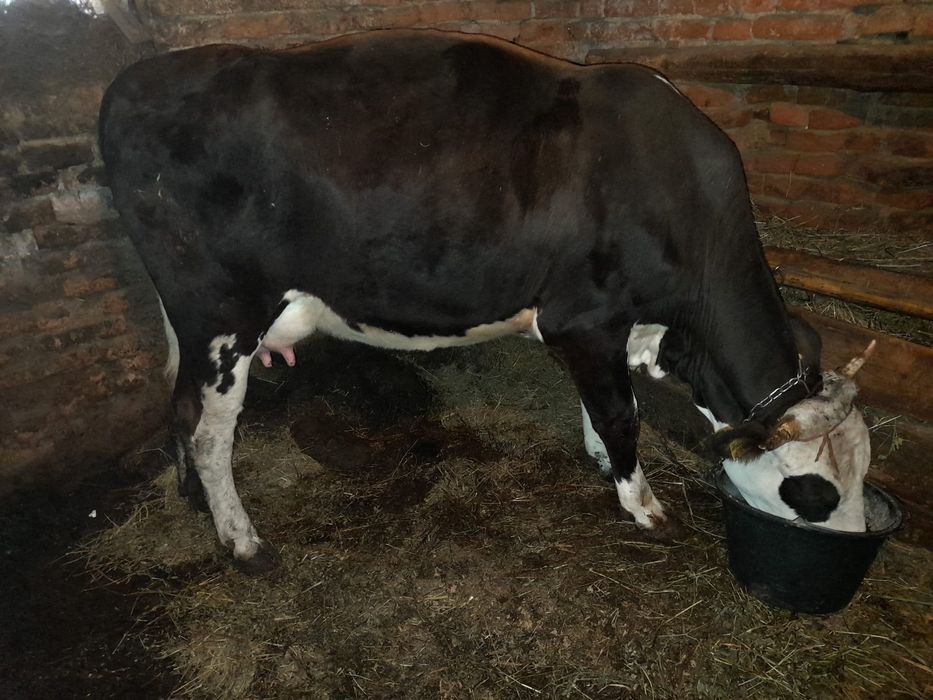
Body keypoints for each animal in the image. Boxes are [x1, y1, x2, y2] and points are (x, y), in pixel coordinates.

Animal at [99, 30, 873, 572]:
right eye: (817, 496)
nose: (857, 546)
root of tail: (137, 78)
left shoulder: (607, 329)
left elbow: (601, 404)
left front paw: (605, 465)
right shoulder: (584, 318)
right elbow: (621, 414)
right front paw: (643, 505)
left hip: (186, 317)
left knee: (176, 397)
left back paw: (192, 498)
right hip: (222, 311)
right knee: (208, 427)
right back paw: (244, 543)